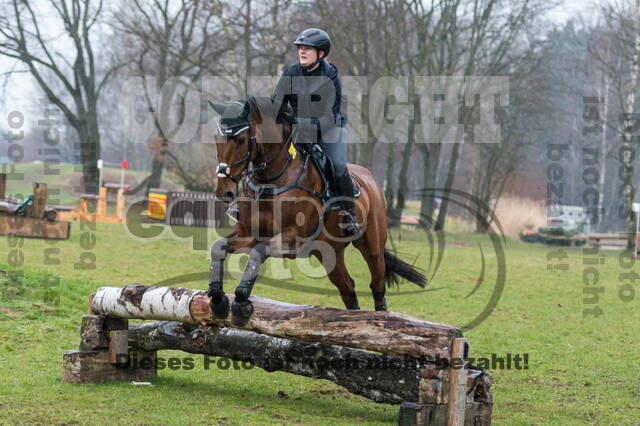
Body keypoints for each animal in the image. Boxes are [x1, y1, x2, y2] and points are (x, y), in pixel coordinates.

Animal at [205, 96, 424, 324]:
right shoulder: (249, 233)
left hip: (372, 245)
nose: (223, 191)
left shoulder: (292, 239)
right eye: (216, 138)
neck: (272, 180)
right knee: (348, 288)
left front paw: (240, 304)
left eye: (240, 140)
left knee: (377, 283)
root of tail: (369, 177)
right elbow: (218, 248)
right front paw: (218, 301)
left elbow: (257, 254)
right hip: (329, 252)